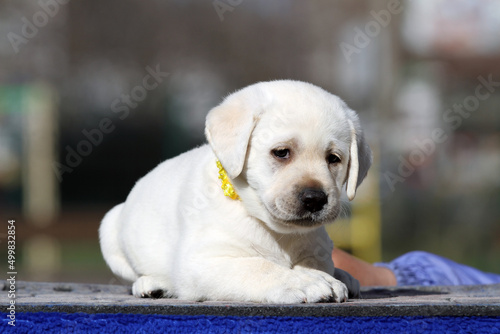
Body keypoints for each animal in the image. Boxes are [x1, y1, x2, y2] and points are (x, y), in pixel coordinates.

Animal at [98, 79, 372, 304]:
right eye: (281, 152)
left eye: (334, 158)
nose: (315, 199)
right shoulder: (202, 261)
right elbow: (259, 267)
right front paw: (305, 282)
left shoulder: (318, 249)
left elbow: (312, 264)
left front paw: (320, 276)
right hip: (110, 227)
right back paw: (153, 283)